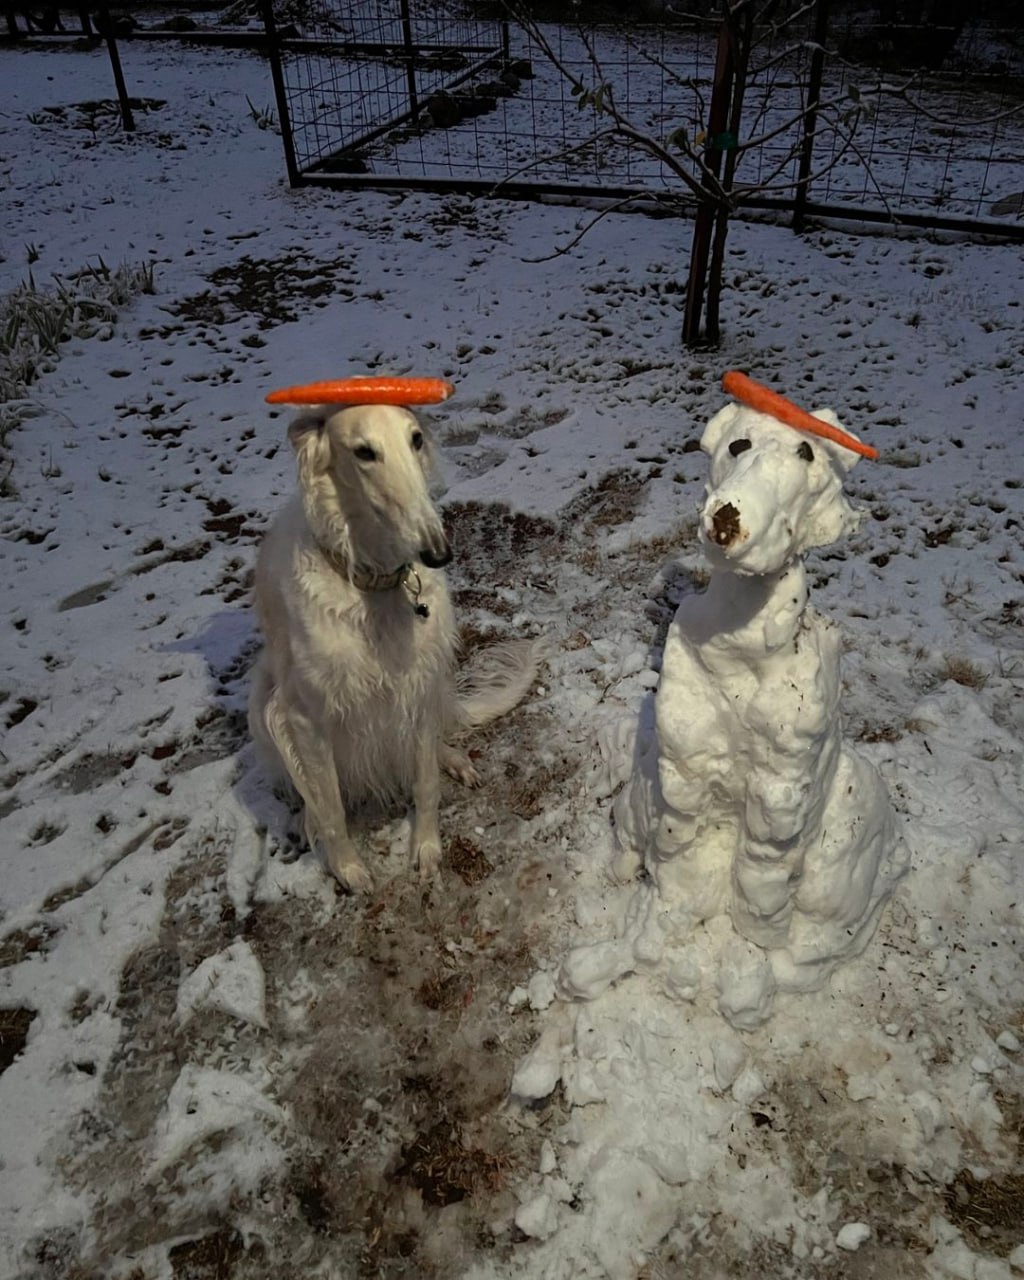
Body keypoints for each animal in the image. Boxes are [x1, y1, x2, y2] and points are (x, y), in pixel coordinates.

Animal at [248, 401, 541, 892]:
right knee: (308, 791)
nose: (438, 552)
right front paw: (349, 871)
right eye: (364, 452)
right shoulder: (304, 717)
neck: (375, 586)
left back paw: (454, 759)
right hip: (263, 707)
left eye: (416, 439)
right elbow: (330, 809)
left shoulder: (417, 688)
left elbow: (425, 782)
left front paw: (427, 850)